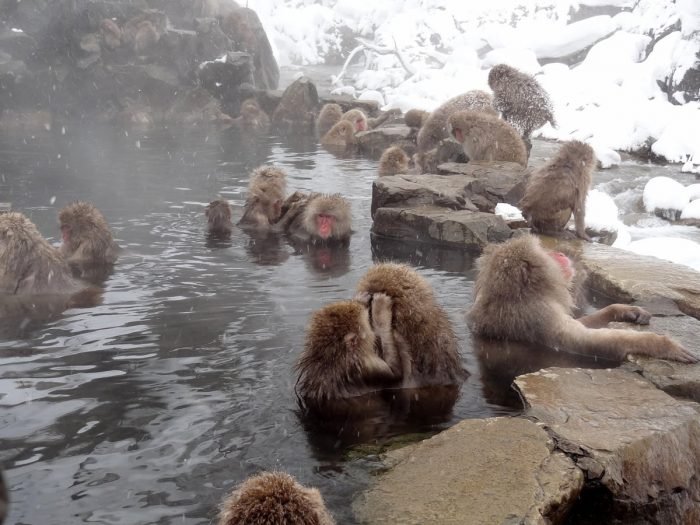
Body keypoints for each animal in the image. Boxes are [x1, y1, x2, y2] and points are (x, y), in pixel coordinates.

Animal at [468, 235, 698, 363]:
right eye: (549, 255)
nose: (560, 254)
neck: (522, 294)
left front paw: (621, 310)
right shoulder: (539, 315)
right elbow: (588, 343)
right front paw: (661, 344)